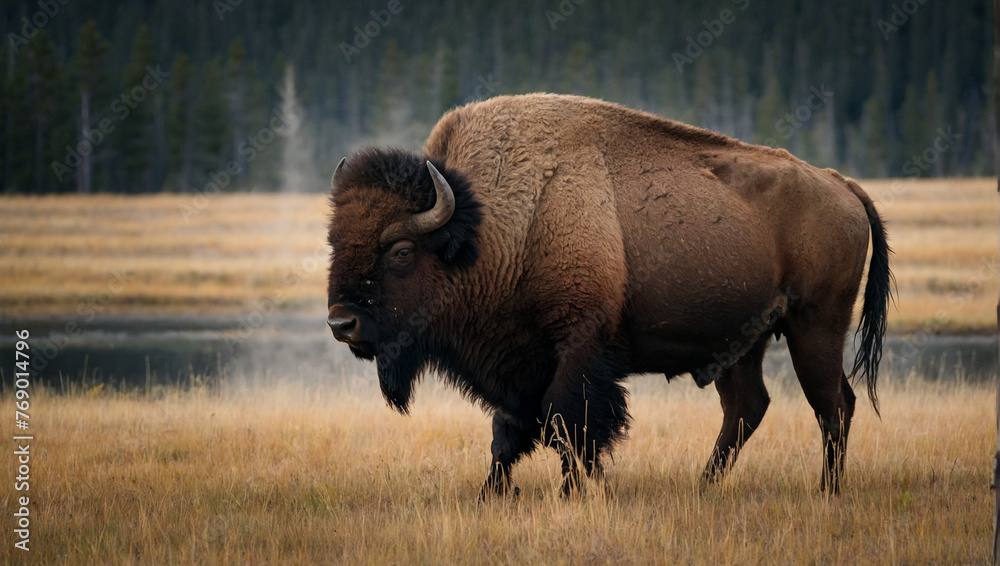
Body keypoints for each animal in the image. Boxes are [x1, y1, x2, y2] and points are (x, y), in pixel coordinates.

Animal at [326, 94, 892, 502]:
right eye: (333, 240)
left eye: (400, 251)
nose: (340, 324)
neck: (493, 230)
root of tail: (840, 184)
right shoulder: (518, 362)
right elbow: (508, 431)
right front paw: (493, 494)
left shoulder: (579, 346)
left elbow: (567, 422)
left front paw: (574, 490)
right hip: (742, 343)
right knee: (748, 408)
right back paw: (704, 485)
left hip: (814, 325)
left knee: (832, 404)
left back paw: (827, 491)